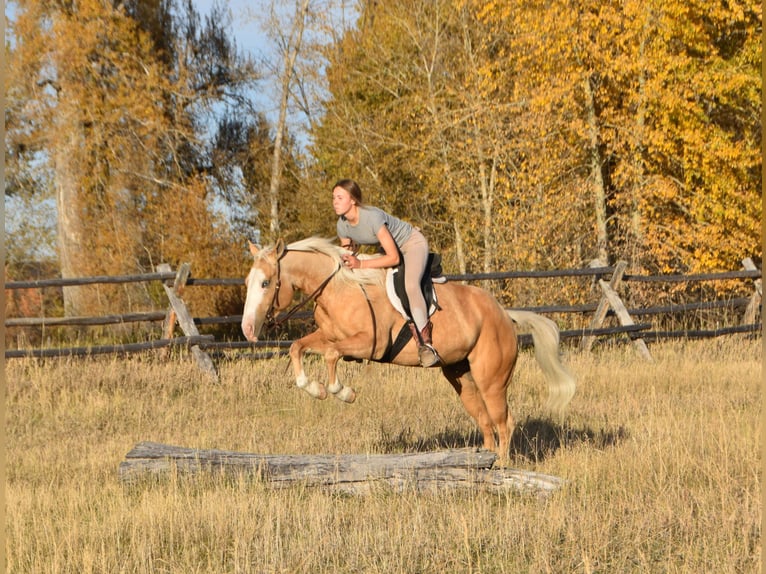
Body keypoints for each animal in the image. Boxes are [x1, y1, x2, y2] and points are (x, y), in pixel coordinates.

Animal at [241, 236, 576, 460]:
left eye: (266, 283)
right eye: (248, 282)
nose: (247, 330)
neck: (339, 288)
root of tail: (505, 315)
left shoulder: (369, 344)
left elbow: (332, 355)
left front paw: (341, 392)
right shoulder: (329, 335)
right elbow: (298, 348)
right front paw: (315, 389)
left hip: (491, 380)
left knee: (503, 423)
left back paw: (502, 471)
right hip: (461, 378)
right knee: (485, 422)